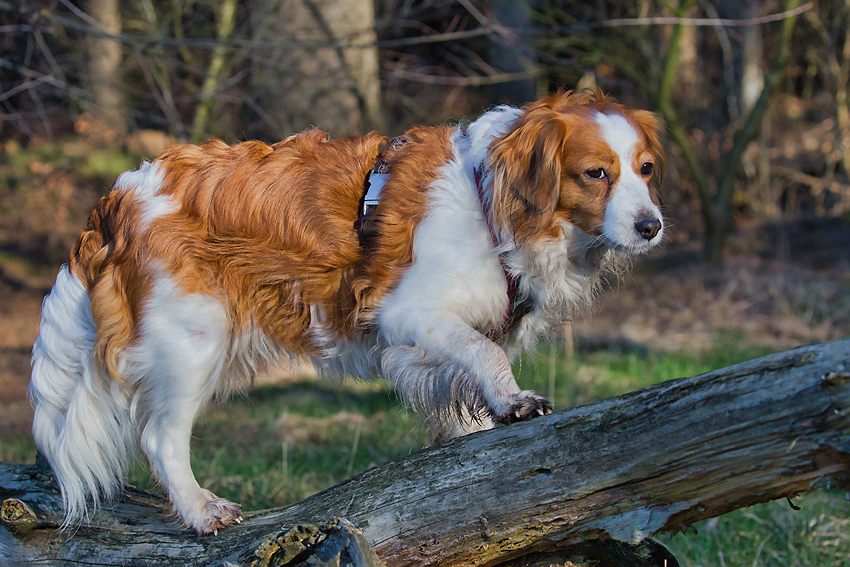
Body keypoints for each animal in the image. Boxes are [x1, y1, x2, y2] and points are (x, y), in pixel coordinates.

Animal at [29, 90, 664, 536]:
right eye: (596, 173)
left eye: (646, 169)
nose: (652, 226)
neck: (491, 205)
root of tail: (115, 200)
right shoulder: (404, 311)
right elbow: (483, 352)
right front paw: (515, 400)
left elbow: (468, 394)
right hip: (195, 340)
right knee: (161, 438)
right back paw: (201, 510)